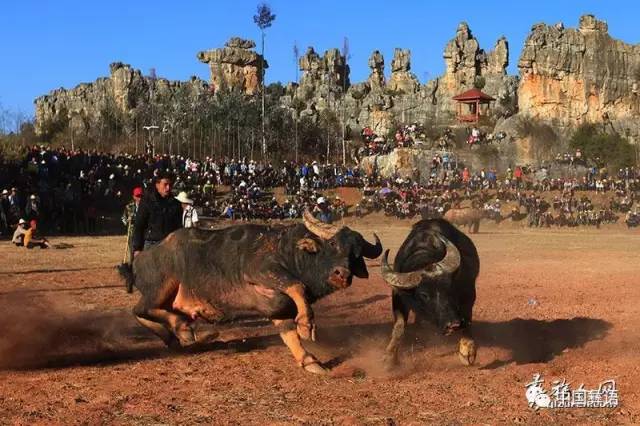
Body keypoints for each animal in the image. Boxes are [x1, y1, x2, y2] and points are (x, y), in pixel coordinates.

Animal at [378, 218, 478, 368]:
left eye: (450, 288)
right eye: (424, 295)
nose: (453, 325)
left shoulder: (468, 292)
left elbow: (467, 318)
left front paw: (467, 351)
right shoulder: (398, 297)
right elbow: (399, 326)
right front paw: (389, 359)